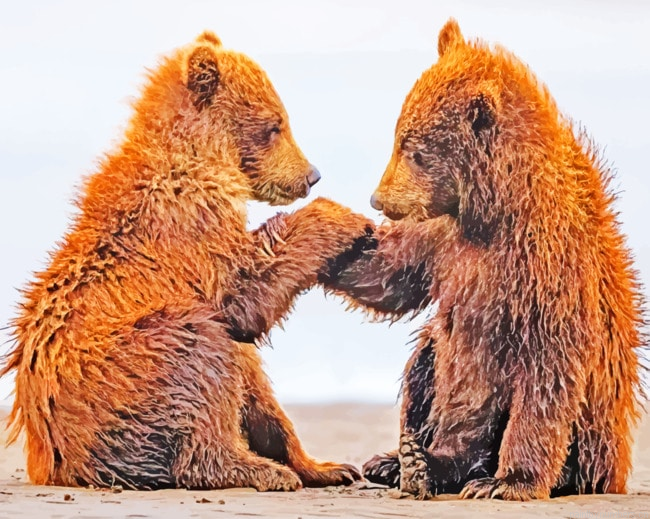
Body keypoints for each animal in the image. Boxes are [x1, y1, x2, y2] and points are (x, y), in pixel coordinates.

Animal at [0, 31, 373, 491]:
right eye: (275, 126)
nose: (311, 175)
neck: (199, 155)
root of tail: (59, 461)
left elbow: (253, 361)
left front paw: (326, 464)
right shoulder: (190, 224)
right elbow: (244, 290)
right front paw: (347, 218)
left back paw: (308, 466)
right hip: (129, 371)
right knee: (202, 351)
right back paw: (256, 468)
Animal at [322, 19, 646, 500]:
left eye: (415, 150)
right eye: (398, 137)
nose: (378, 199)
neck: (492, 212)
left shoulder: (547, 265)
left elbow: (547, 375)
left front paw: (508, 482)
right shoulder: (443, 238)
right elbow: (392, 275)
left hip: (594, 439)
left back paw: (441, 468)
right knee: (425, 365)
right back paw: (401, 460)